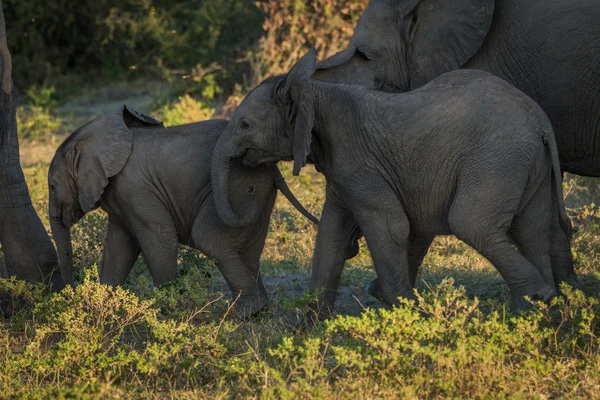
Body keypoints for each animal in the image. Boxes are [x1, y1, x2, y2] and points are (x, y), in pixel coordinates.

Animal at [49, 106, 316, 316]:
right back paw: (257, 312)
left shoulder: (134, 188)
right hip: (255, 191)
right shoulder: (120, 198)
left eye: (52, 186)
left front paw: (169, 310)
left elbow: (158, 237)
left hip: (236, 187)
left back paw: (244, 313)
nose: (69, 292)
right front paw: (102, 307)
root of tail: (272, 168)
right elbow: (119, 247)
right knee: (250, 250)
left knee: (209, 238)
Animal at [212, 49, 580, 312]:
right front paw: (309, 326)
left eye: (244, 125)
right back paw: (535, 316)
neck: (315, 91)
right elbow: (331, 231)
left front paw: (404, 310)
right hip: (528, 163)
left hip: (496, 159)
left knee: (471, 223)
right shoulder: (345, 170)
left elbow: (390, 227)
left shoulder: (358, 161)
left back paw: (540, 298)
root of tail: (539, 118)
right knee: (532, 230)